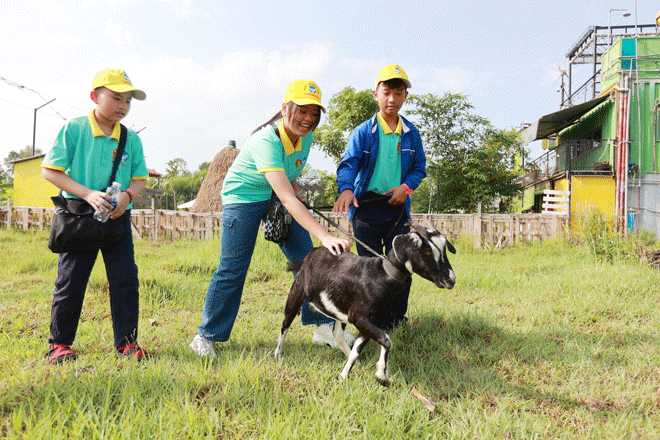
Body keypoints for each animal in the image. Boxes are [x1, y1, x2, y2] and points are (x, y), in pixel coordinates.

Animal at [272, 223, 454, 384]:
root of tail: (313, 252)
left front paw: (343, 376)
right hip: (296, 292)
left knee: (338, 334)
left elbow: (357, 350)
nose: (451, 280)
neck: (381, 275)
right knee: (285, 324)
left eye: (444, 249)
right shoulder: (359, 318)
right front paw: (381, 375)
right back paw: (277, 354)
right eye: (428, 251)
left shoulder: (369, 321)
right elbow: (387, 340)